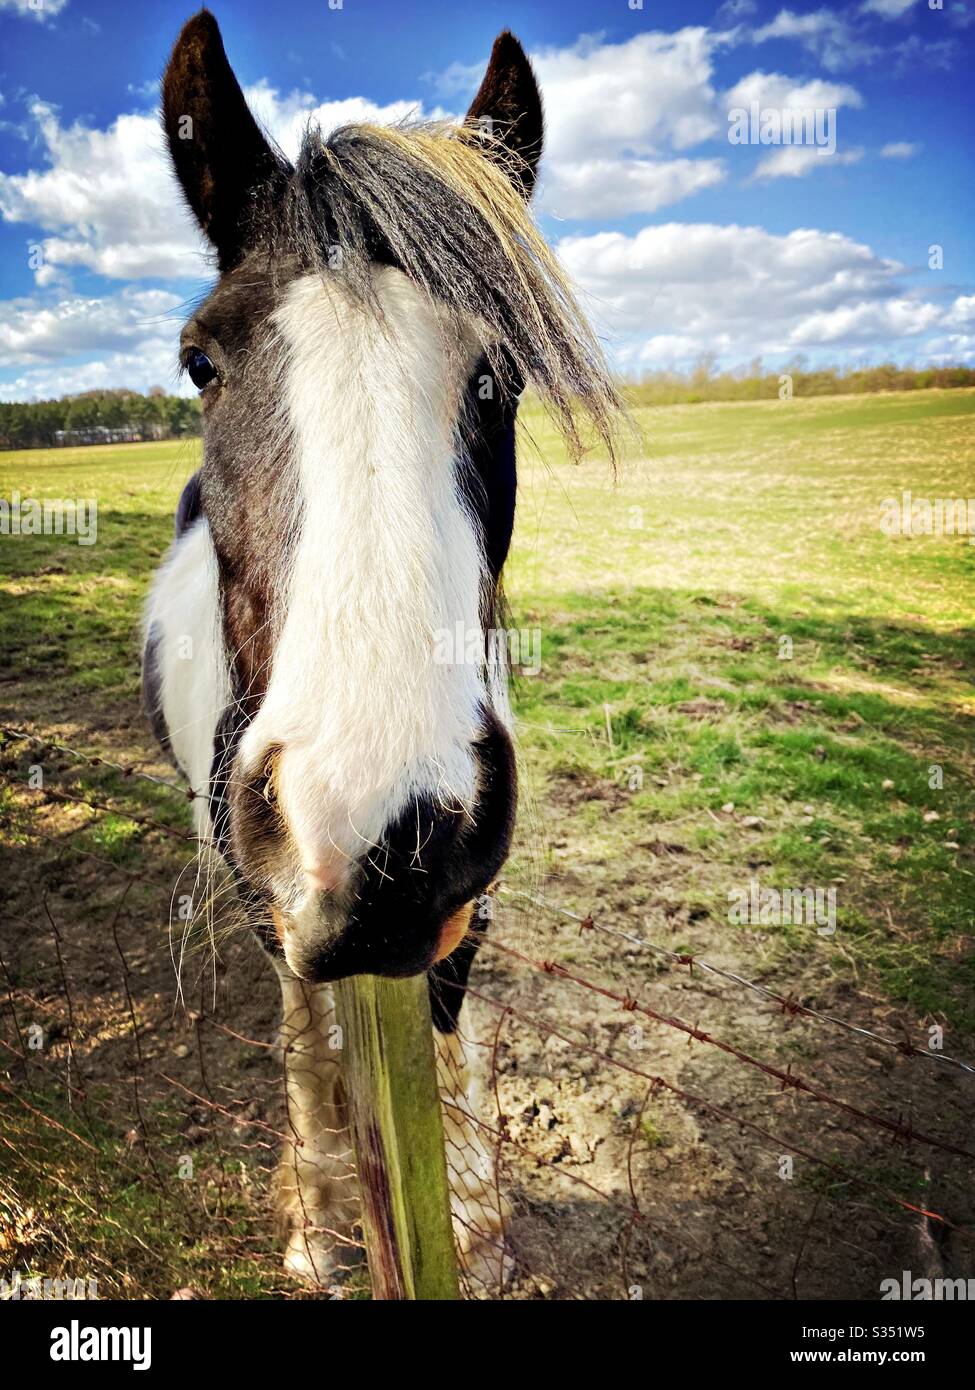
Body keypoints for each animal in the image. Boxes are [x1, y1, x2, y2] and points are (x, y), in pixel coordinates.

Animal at [143, 10, 619, 1286]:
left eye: (501, 372)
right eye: (201, 360)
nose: (385, 830)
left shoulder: (467, 890)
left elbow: (451, 1036)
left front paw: (476, 1220)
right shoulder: (273, 893)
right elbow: (308, 1041)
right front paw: (317, 1227)